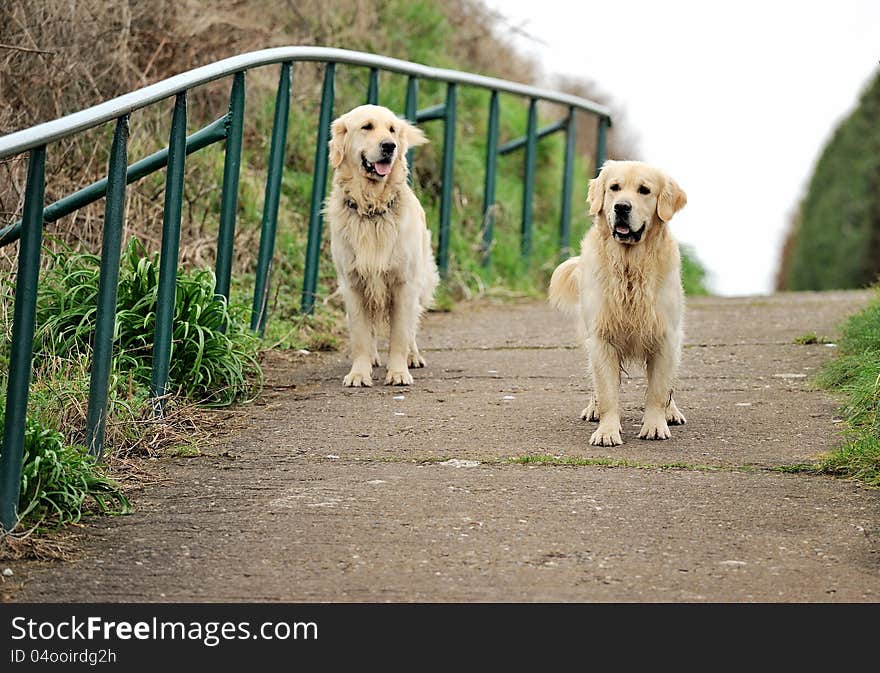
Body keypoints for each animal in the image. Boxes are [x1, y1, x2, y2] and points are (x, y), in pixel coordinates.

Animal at [324, 105, 438, 388]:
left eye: (392, 129)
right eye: (367, 127)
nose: (390, 146)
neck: (371, 208)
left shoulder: (403, 283)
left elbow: (399, 334)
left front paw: (398, 372)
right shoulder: (353, 284)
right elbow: (361, 336)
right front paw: (359, 373)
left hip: (420, 280)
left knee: (412, 325)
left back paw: (413, 356)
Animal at [552, 159, 688, 446]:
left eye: (644, 190)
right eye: (614, 188)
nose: (622, 207)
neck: (629, 265)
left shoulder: (665, 336)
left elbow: (658, 390)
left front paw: (655, 425)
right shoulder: (601, 337)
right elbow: (607, 392)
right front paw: (607, 431)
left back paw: (671, 411)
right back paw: (592, 408)